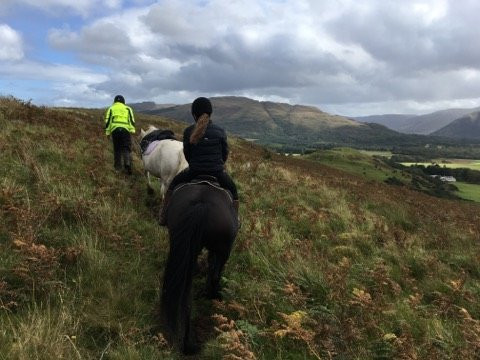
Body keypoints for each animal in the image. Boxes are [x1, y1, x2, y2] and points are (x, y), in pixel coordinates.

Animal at [159, 183, 238, 354]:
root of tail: (201, 204)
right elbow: (214, 271)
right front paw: (212, 294)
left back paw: (186, 342)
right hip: (223, 249)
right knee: (214, 274)